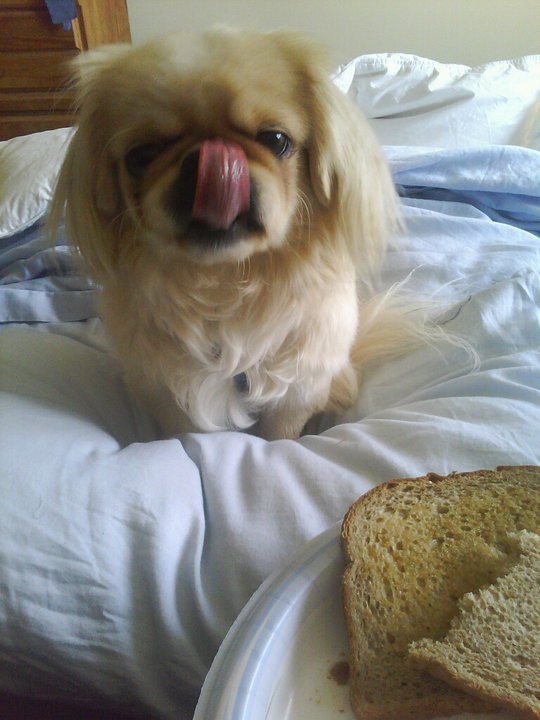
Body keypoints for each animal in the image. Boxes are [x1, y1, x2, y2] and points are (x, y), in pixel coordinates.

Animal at [52, 29, 405, 440]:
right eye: (142, 156)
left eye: (276, 140)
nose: (207, 159)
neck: (224, 283)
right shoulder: (165, 390)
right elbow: (186, 435)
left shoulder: (297, 388)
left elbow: (279, 435)